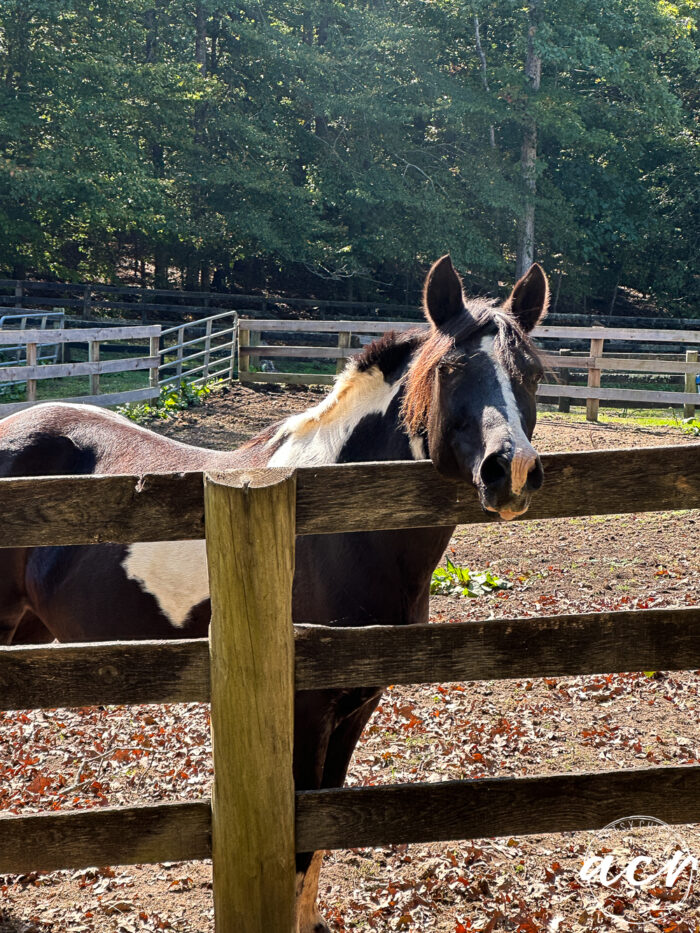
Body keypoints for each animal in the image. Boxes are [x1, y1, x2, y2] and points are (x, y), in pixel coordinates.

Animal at [0, 255, 548, 932]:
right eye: (450, 370)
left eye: (532, 374)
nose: (512, 471)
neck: (333, 528)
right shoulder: (306, 711)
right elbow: (297, 846)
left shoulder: (356, 707)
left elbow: (321, 837)